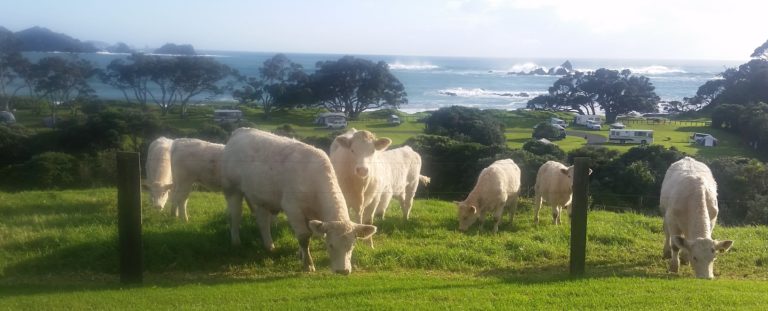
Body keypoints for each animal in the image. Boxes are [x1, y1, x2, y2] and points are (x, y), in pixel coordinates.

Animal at [222, 128, 378, 274]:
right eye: (330, 245)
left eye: (352, 246)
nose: (343, 270)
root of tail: (241, 131)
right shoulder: (292, 208)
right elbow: (304, 237)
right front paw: (307, 264)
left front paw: (301, 254)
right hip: (232, 189)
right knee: (235, 216)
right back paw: (236, 242)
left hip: (261, 198)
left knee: (262, 222)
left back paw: (269, 246)